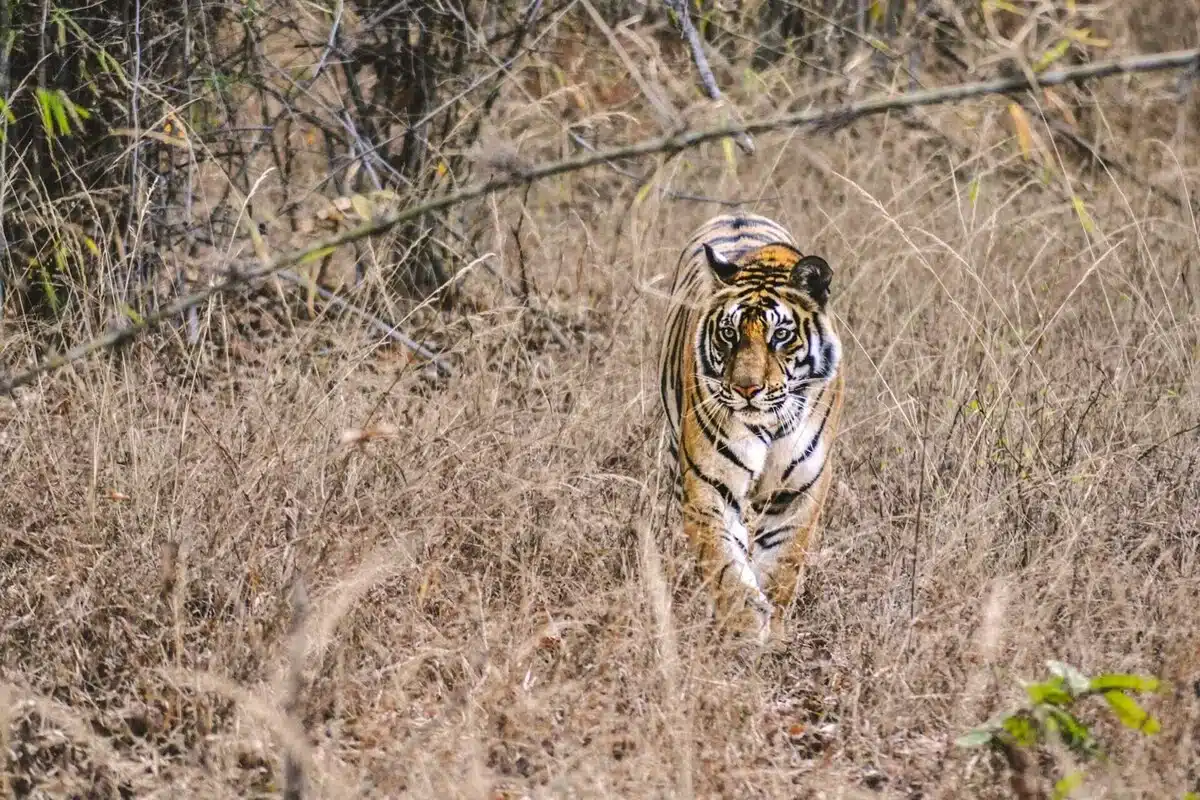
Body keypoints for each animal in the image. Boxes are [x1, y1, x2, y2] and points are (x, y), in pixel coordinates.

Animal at [657, 211, 844, 642]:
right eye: (729, 333)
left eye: (781, 335)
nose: (746, 389)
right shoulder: (709, 484)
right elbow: (724, 565)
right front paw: (743, 626)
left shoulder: (799, 491)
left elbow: (782, 564)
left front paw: (771, 630)